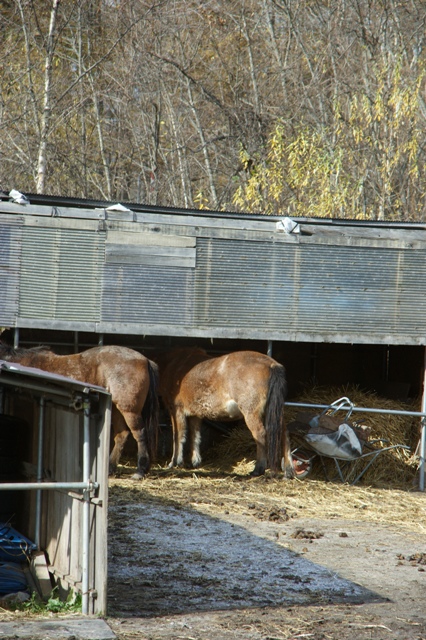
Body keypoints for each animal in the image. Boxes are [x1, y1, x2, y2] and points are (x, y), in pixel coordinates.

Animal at [0, 342, 159, 480]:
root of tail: (145, 360)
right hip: (116, 409)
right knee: (122, 435)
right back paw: (110, 469)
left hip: (129, 410)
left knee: (139, 434)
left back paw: (140, 470)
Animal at [155, 347, 294, 477]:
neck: (173, 364)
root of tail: (272, 365)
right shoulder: (195, 414)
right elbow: (195, 436)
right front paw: (194, 461)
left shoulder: (176, 409)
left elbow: (178, 436)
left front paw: (174, 462)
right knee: (283, 433)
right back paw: (289, 470)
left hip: (252, 413)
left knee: (260, 433)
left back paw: (258, 469)